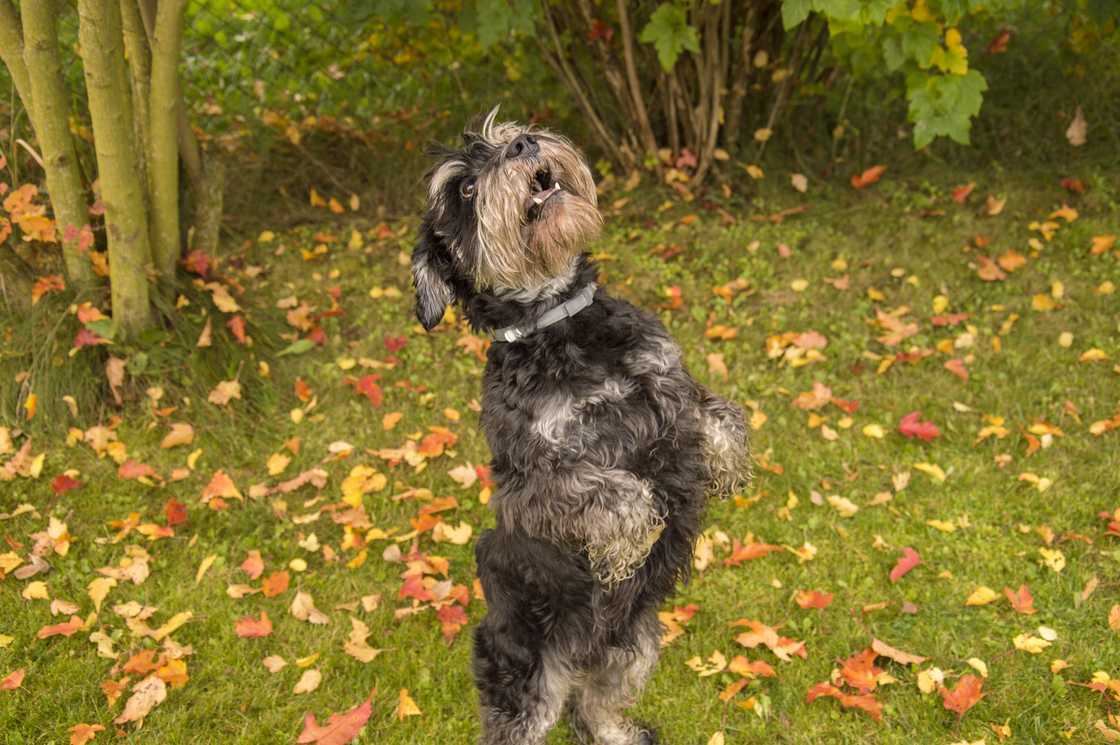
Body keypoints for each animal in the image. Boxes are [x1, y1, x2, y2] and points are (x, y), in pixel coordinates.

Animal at [412, 105, 752, 743]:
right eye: (463, 189)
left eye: (504, 135)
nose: (525, 145)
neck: (560, 327)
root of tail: (578, 657)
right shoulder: (532, 485)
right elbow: (613, 489)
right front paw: (631, 540)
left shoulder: (668, 382)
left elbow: (718, 412)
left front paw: (727, 468)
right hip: (526, 676)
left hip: (634, 645)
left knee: (593, 710)